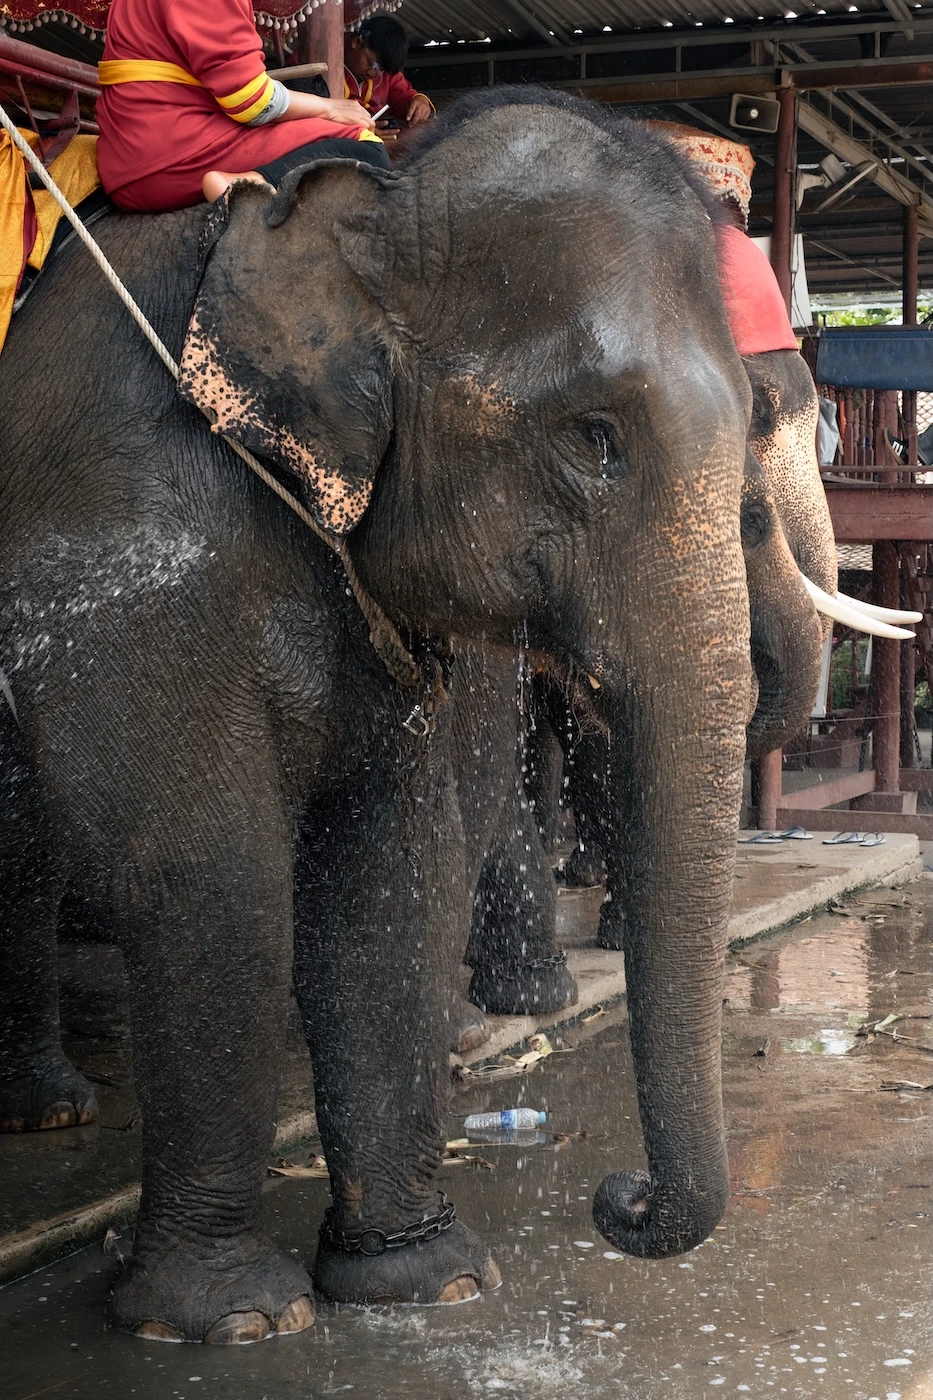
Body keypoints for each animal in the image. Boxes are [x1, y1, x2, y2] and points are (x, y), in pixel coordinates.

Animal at [0, 86, 811, 1343]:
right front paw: (231, 1321)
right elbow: (208, 868)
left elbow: (398, 861)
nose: (618, 1196)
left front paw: (426, 1281)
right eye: (593, 435)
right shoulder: (123, 529)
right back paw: (52, 1114)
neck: (373, 195)